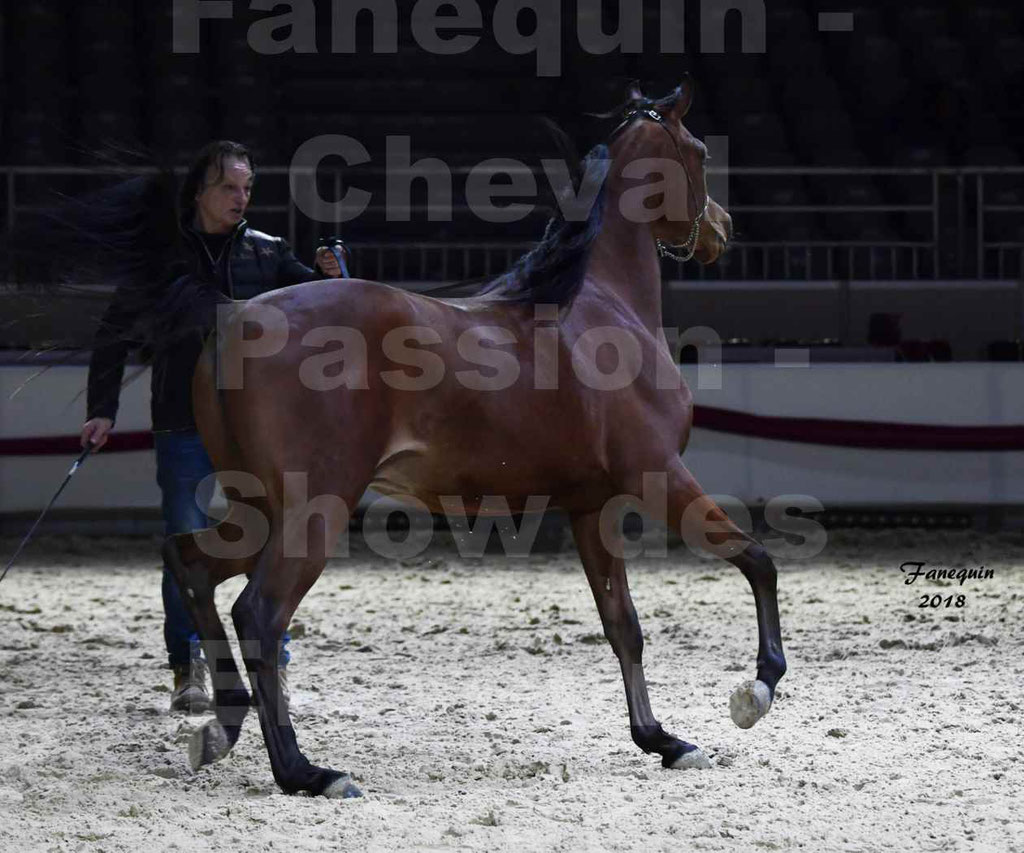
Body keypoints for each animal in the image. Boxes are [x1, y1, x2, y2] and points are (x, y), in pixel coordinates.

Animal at [159, 81, 786, 798]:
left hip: (259, 508)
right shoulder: (658, 479)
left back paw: (221, 726)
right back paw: (306, 772)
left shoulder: (591, 506)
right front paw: (756, 691)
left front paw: (662, 740)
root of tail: (234, 318)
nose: (721, 228)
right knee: (259, 614)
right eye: (702, 151)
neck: (601, 309)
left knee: (191, 566)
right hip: (312, 510)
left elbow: (623, 625)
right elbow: (756, 558)